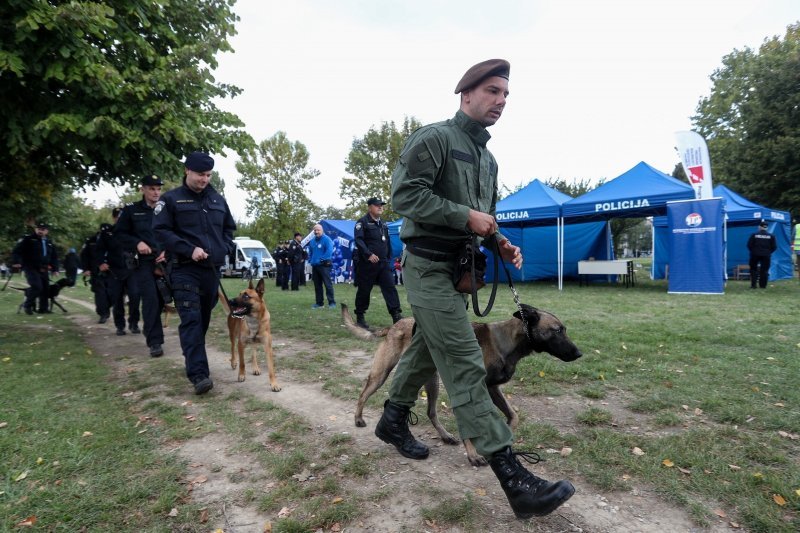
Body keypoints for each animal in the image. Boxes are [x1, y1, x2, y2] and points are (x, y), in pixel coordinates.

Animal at [344, 304, 580, 466]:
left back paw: (445, 436)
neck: (507, 341)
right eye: (557, 330)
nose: (579, 353)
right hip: (382, 374)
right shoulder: (472, 390)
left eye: (564, 329)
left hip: (431, 380)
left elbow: (513, 416)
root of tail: (395, 324)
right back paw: (358, 418)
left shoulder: (492, 388)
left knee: (431, 412)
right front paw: (473, 454)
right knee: (363, 393)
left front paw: (504, 438)